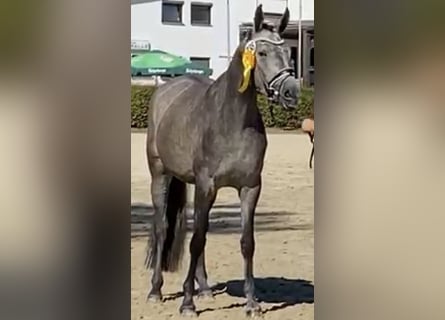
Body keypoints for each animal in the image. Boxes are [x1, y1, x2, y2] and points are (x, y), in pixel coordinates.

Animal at [146, 5, 298, 318]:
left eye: (289, 52)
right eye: (262, 52)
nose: (292, 91)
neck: (232, 121)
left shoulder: (250, 188)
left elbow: (246, 242)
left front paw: (252, 303)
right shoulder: (207, 185)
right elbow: (196, 241)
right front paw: (187, 303)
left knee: (196, 230)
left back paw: (204, 288)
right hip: (160, 174)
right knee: (163, 227)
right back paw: (156, 291)